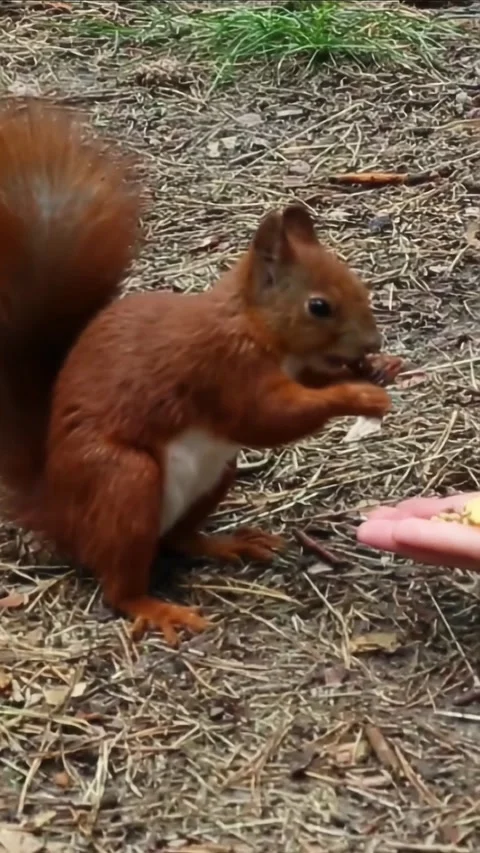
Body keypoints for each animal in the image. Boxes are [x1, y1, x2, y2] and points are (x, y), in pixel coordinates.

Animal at [0, 98, 393, 645]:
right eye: (319, 307)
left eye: (358, 284)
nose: (373, 343)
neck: (253, 325)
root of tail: (58, 510)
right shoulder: (222, 369)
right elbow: (267, 418)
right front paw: (359, 395)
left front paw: (382, 370)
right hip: (125, 482)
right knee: (119, 583)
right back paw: (158, 608)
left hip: (214, 475)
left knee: (179, 539)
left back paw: (226, 544)